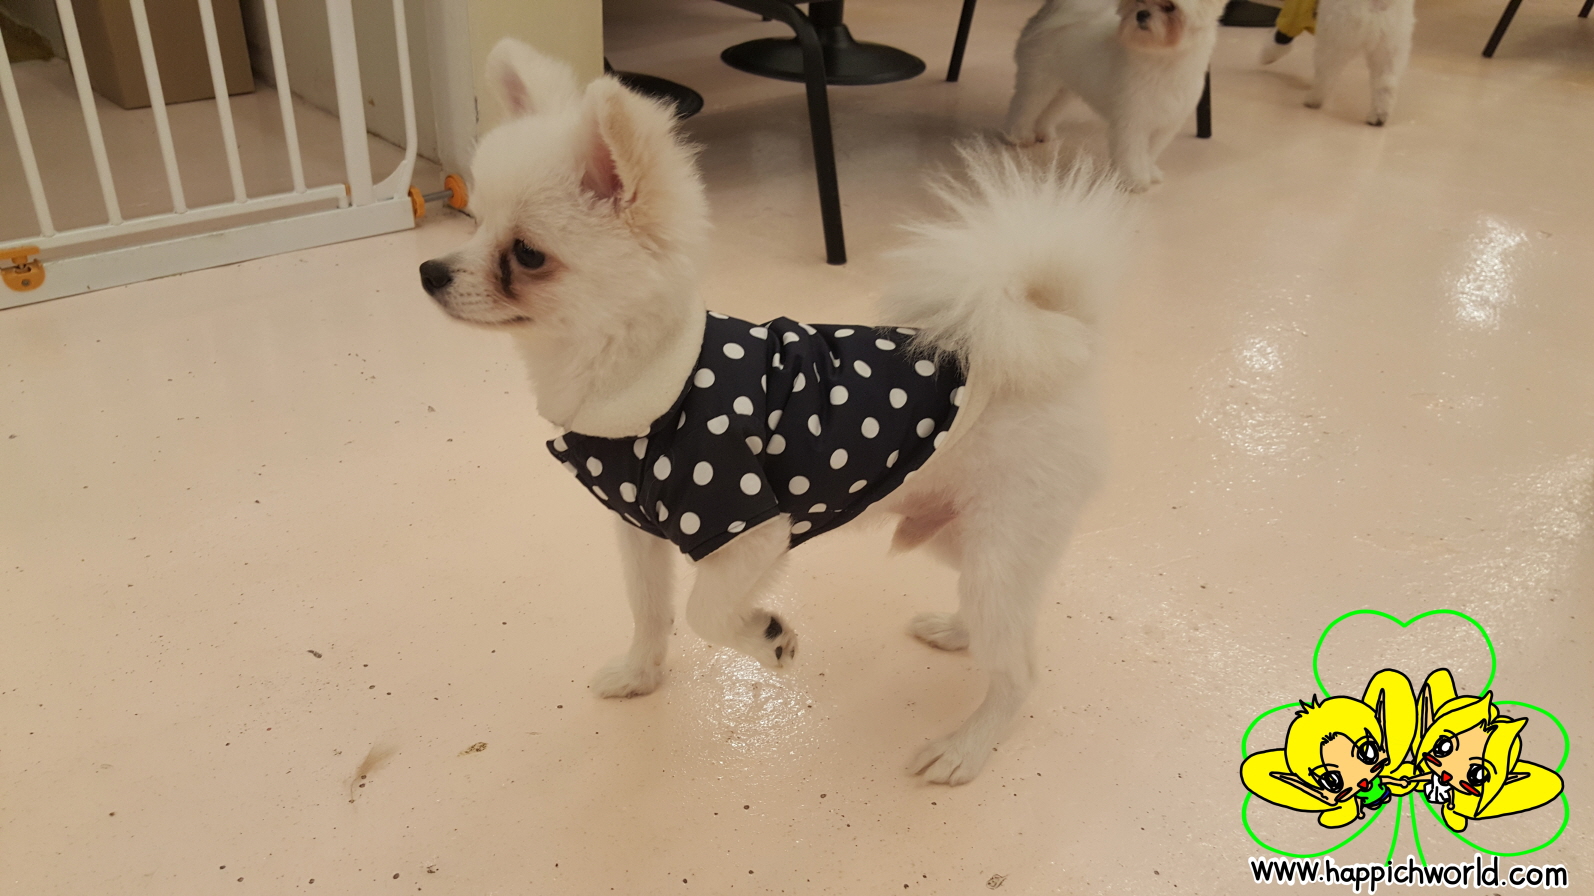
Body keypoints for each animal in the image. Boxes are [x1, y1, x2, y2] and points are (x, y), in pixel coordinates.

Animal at [418, 39, 1128, 785]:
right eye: (475, 222)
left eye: (527, 255)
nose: (430, 272)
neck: (645, 381)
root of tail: (1059, 338)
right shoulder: (639, 532)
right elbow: (650, 610)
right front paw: (641, 675)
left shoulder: (749, 529)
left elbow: (703, 610)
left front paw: (767, 638)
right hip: (965, 537)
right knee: (1014, 626)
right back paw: (954, 631)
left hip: (1001, 540)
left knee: (1019, 671)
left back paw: (965, 747)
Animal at [1004, 0, 1223, 191]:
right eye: (1138, 1)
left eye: (1170, 7)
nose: (1141, 14)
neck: (1162, 60)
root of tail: (1044, 15)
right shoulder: (1132, 122)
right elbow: (1132, 154)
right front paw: (1134, 180)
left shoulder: (1166, 125)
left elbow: (1150, 152)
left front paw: (1150, 172)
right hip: (1039, 83)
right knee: (1023, 108)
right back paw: (1019, 136)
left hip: (1064, 88)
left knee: (1049, 109)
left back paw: (1043, 132)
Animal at [1260, 0, 1415, 126]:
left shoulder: (1294, 15)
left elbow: (1279, 39)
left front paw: (1266, 57)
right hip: (1390, 48)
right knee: (1386, 86)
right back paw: (1378, 117)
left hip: (1334, 40)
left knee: (1325, 77)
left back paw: (1313, 100)